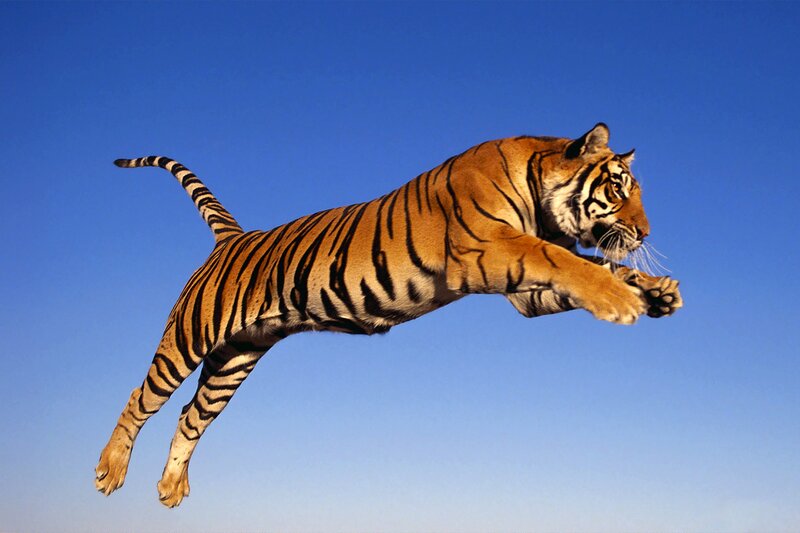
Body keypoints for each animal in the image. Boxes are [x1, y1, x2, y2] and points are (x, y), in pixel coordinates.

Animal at [95, 123, 682, 507]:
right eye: (616, 189)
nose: (646, 233)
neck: (539, 197)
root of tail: (233, 237)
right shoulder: (490, 250)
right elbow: (568, 261)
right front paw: (622, 300)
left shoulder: (523, 293)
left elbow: (593, 265)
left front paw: (657, 291)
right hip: (188, 337)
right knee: (141, 397)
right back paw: (109, 470)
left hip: (235, 359)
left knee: (190, 416)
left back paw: (170, 489)